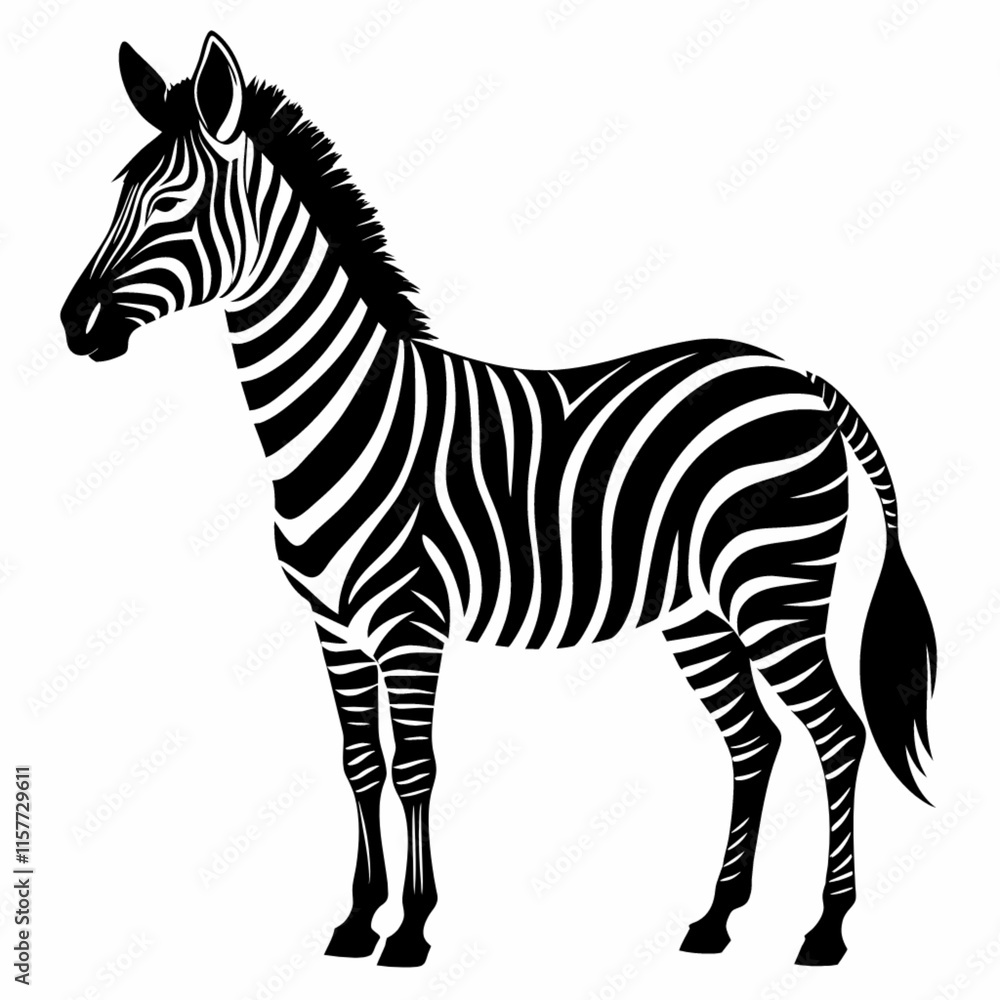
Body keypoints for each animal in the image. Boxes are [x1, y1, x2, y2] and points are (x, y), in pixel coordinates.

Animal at [61, 32, 936, 968]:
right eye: (117, 198)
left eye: (169, 205)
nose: (74, 326)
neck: (343, 414)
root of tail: (798, 376)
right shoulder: (334, 629)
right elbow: (360, 763)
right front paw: (355, 921)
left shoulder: (410, 620)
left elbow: (414, 764)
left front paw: (410, 929)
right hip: (698, 609)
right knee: (755, 740)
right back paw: (714, 920)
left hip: (777, 587)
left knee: (836, 734)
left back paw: (827, 930)